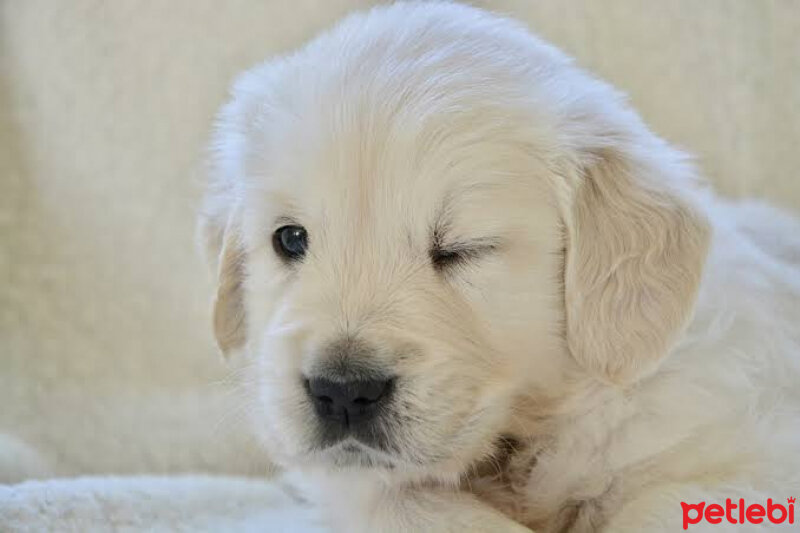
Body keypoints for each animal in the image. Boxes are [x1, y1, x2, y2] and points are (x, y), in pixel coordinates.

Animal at [198, 2, 800, 528]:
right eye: (290, 239)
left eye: (464, 248)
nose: (343, 390)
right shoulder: (354, 486)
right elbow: (405, 502)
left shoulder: (755, 459)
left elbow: (655, 506)